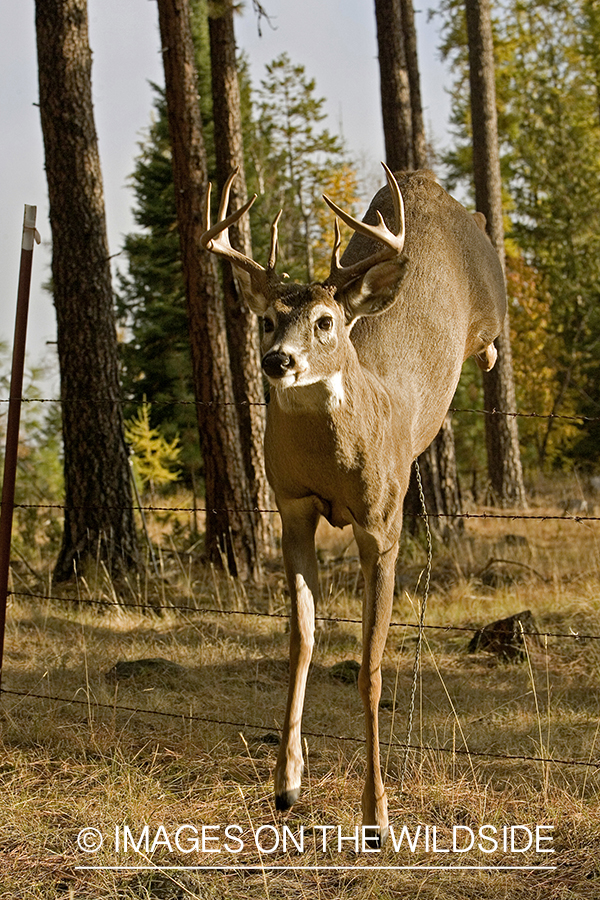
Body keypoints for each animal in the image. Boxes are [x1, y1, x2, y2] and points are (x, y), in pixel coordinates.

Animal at [202, 165, 506, 848]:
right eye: (267, 321)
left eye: (323, 321)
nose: (276, 361)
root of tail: (424, 181)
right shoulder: (290, 508)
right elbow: (302, 639)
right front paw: (287, 782)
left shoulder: (381, 524)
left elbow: (370, 665)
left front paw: (376, 813)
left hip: (492, 297)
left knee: (495, 335)